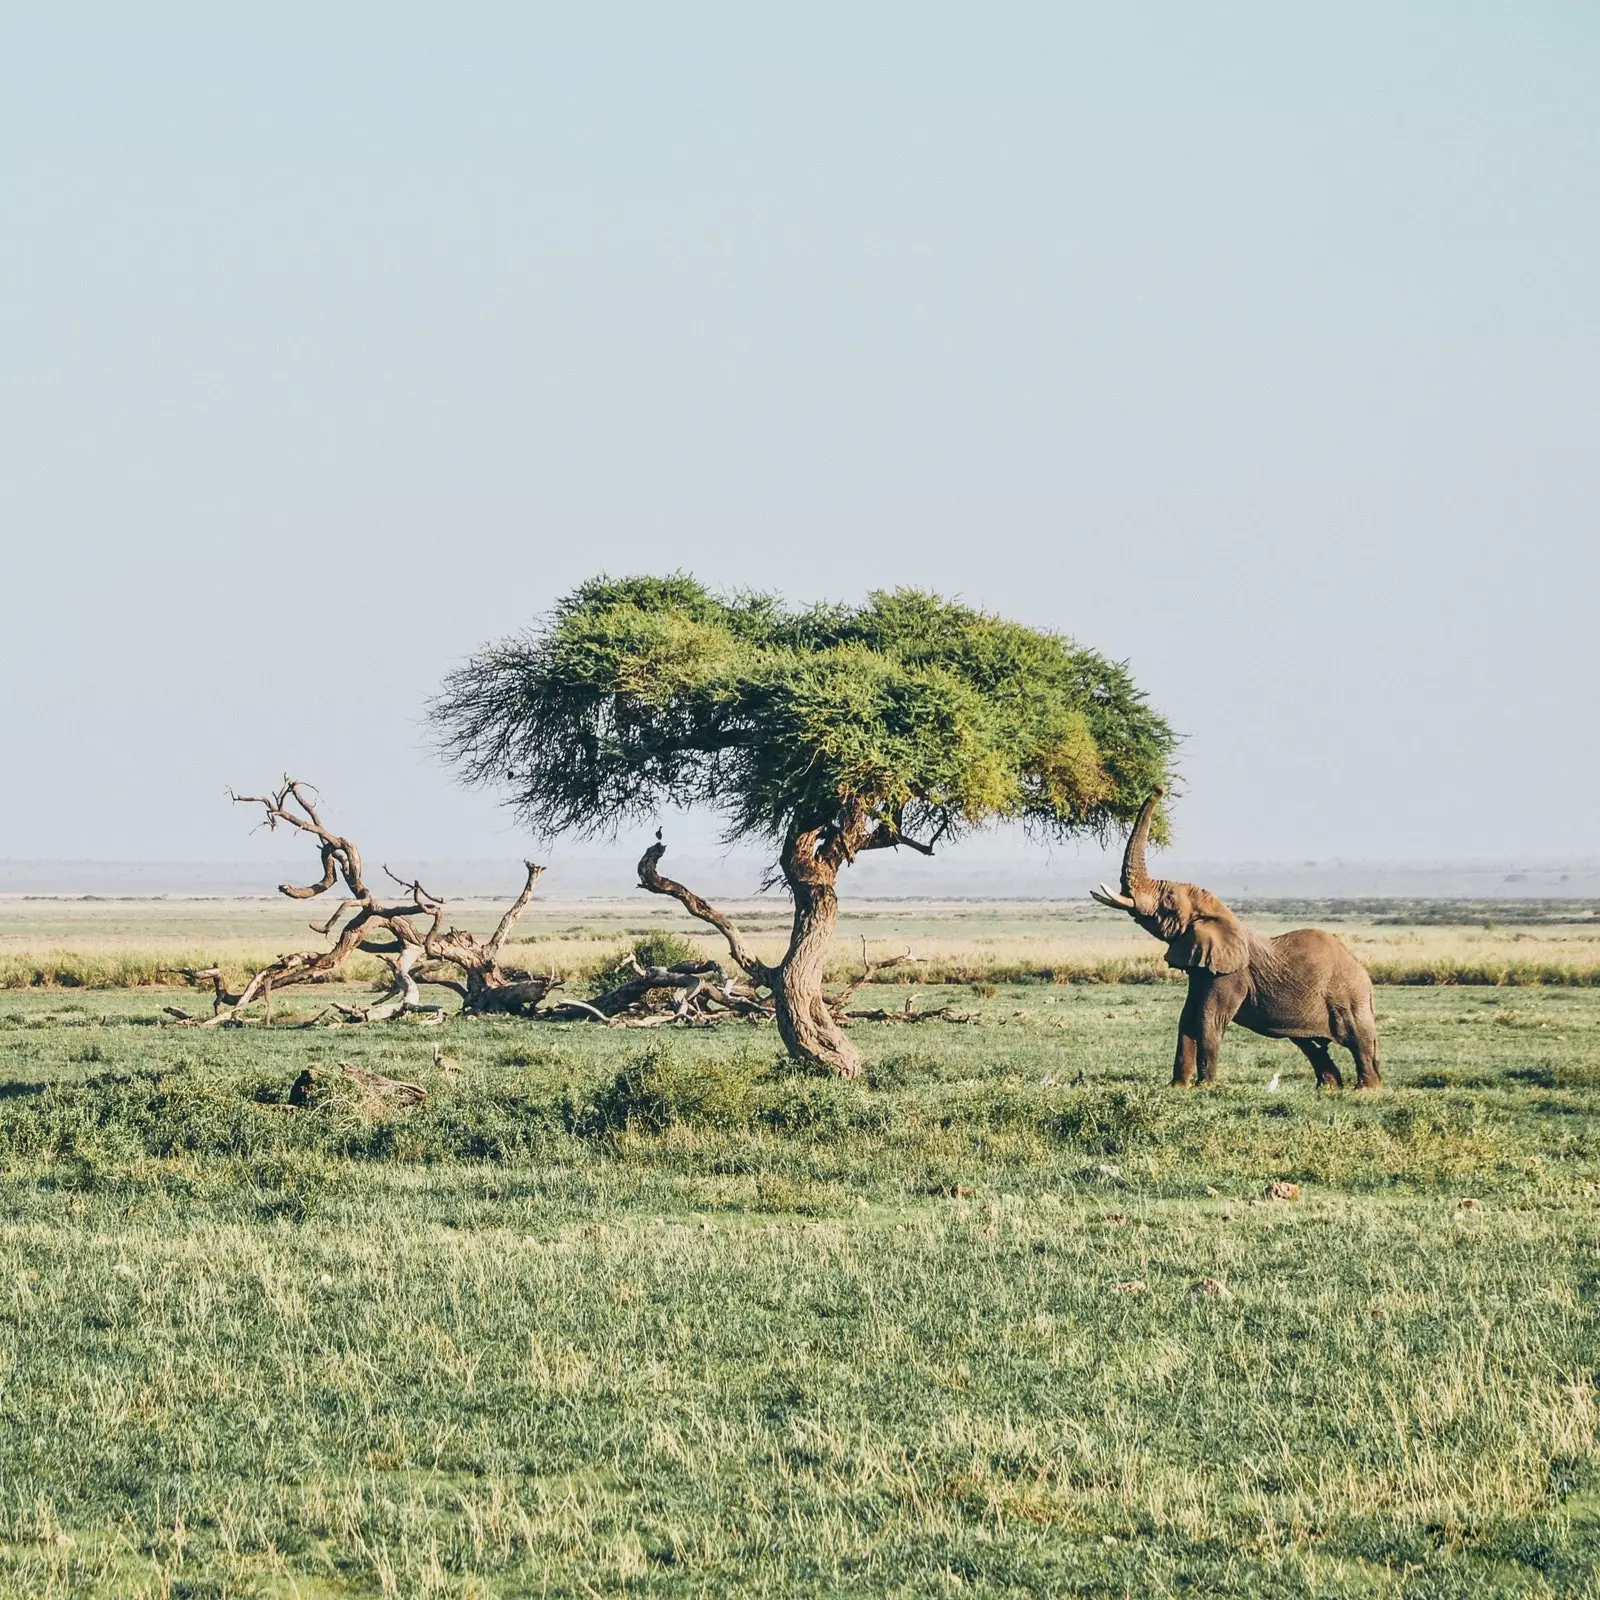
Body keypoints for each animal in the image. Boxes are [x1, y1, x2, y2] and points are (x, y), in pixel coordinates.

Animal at [1094, 787, 1382, 1088]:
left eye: (1168, 902)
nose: (1158, 788)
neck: (1221, 914)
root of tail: (1364, 974)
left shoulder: (1231, 974)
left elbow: (1207, 1019)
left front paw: (1206, 1087)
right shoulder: (1203, 967)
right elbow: (1187, 1018)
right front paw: (1179, 1087)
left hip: (1348, 997)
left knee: (1358, 1040)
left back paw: (1365, 1090)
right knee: (1310, 1044)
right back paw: (1328, 1088)